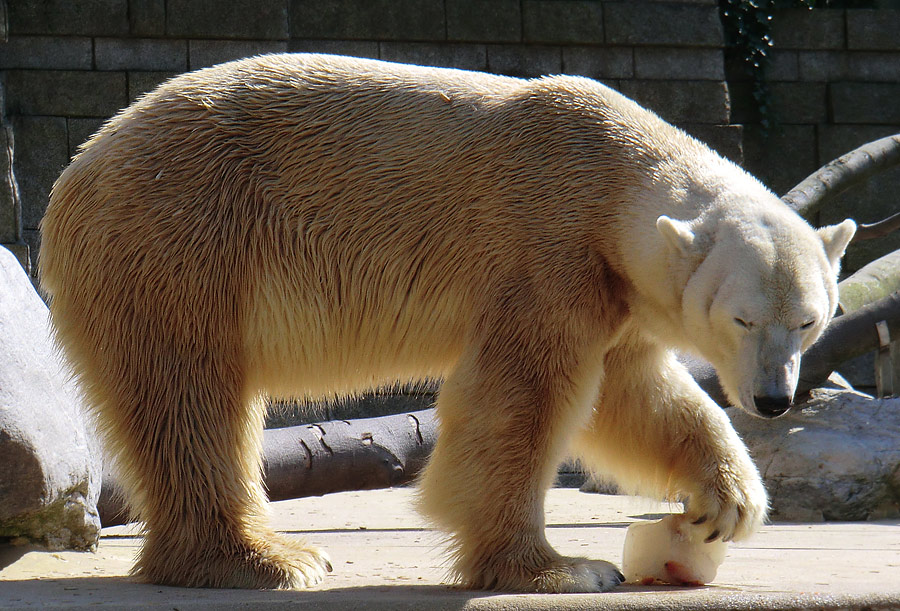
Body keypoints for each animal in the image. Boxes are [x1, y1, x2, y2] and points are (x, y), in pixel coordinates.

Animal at [38, 56, 856, 592]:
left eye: (810, 320)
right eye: (742, 317)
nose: (774, 400)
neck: (613, 179)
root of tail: (79, 168)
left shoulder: (614, 292)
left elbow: (635, 396)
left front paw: (726, 502)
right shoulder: (545, 247)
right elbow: (521, 399)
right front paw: (561, 568)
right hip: (180, 238)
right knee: (193, 395)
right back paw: (266, 559)